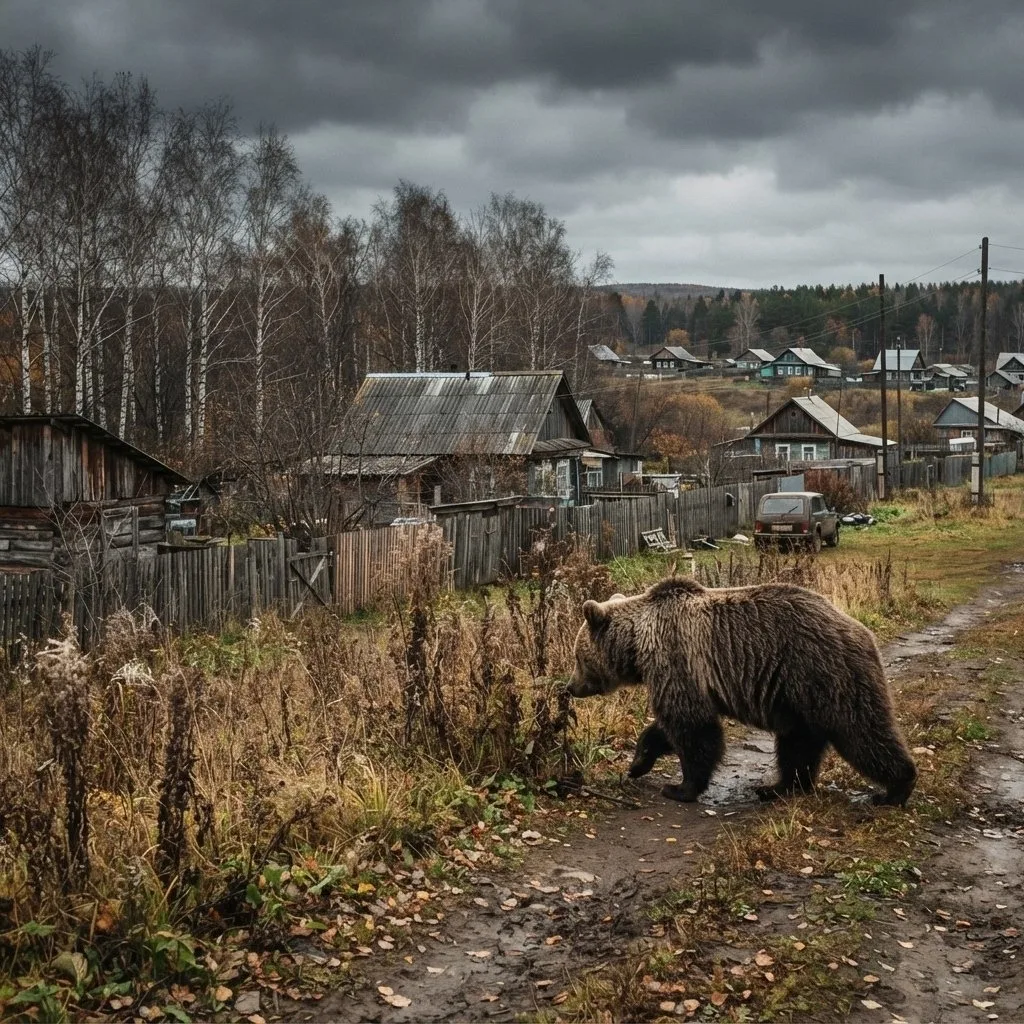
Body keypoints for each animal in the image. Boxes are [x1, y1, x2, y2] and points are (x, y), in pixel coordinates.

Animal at [568, 576, 916, 806]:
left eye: (578, 657)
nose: (570, 687)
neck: (638, 644)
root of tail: (861, 630)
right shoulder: (683, 676)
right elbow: (669, 726)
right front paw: (639, 763)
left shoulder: (677, 660)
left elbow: (693, 728)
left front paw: (680, 788)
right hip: (799, 700)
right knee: (797, 744)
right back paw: (778, 787)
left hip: (823, 674)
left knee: (862, 732)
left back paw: (895, 789)